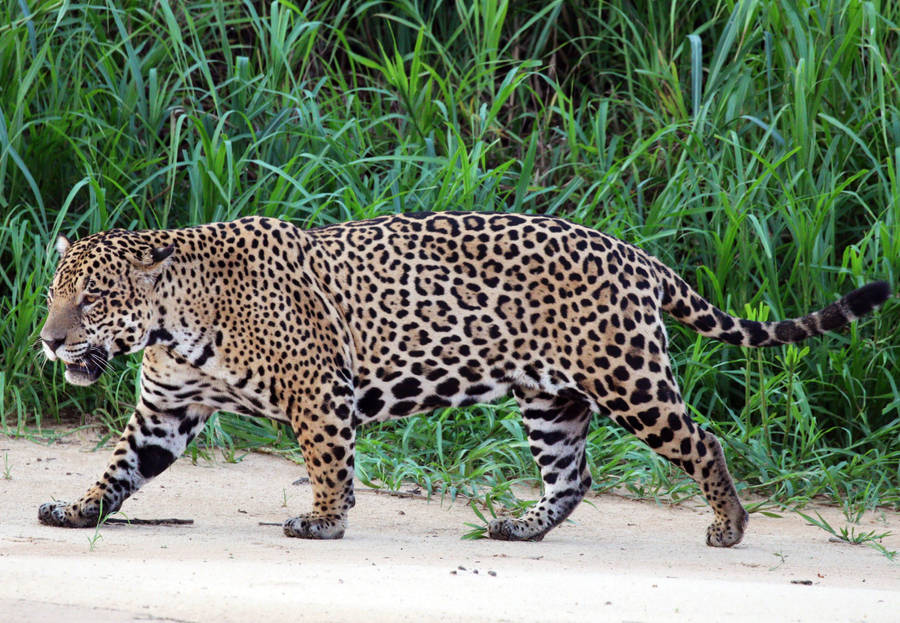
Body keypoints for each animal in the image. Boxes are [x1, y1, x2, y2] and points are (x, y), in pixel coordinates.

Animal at [38, 212, 890, 546]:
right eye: (54, 293)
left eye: (94, 299)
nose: (47, 341)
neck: (176, 320)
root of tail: (635, 253)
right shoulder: (165, 411)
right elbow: (119, 469)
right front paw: (76, 511)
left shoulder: (319, 389)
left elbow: (328, 461)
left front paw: (324, 520)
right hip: (551, 398)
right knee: (572, 474)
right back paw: (522, 527)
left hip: (629, 377)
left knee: (703, 439)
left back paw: (728, 525)